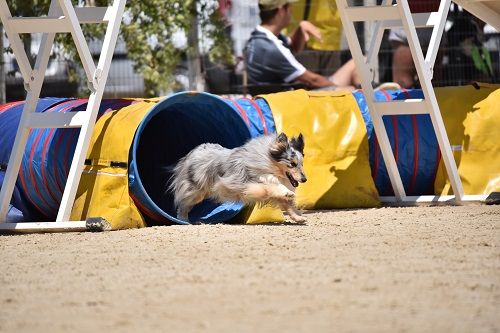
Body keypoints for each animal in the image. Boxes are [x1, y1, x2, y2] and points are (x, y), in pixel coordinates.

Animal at [170, 132, 306, 223]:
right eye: (292, 164)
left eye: (301, 164)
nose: (305, 180)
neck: (268, 163)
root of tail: (194, 151)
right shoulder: (247, 184)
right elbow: (271, 187)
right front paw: (287, 192)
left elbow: (287, 205)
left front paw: (299, 217)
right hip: (196, 192)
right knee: (183, 203)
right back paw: (183, 220)